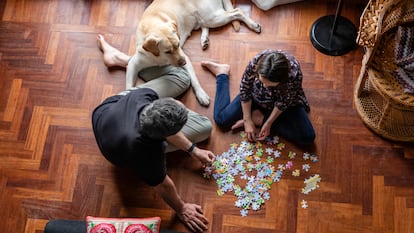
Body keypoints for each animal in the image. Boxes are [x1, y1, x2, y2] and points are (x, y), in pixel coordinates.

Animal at [127, 0, 262, 106]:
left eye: (178, 44)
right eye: (167, 51)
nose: (183, 62)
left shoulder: (184, 57)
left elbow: (194, 79)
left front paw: (201, 95)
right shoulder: (134, 63)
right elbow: (128, 85)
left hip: (212, 17)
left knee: (237, 11)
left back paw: (253, 25)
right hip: (206, 19)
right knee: (206, 25)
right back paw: (204, 40)